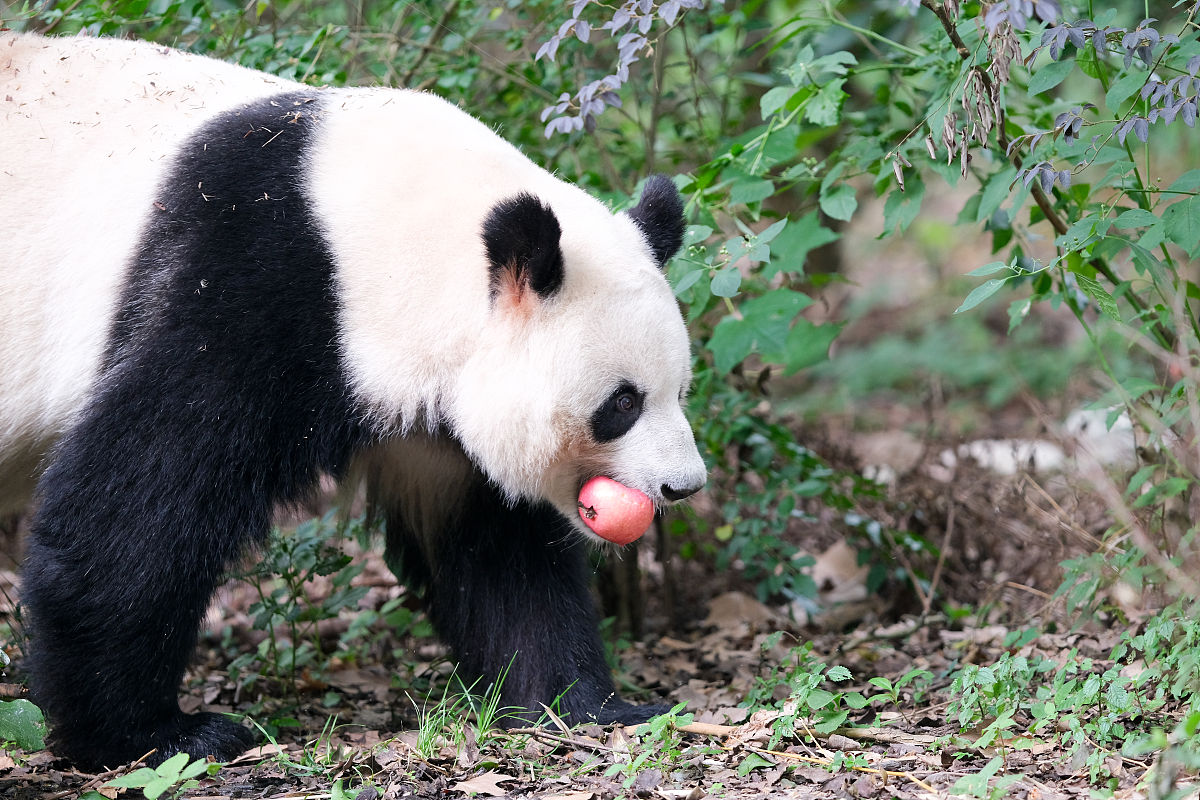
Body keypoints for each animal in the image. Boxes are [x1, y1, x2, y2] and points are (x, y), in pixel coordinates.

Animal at [0, 31, 705, 767]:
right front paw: (152, 734)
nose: (682, 486)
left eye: (679, 390)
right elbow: (141, 500)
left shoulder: (434, 423)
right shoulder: (248, 277)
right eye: (622, 404)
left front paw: (586, 704)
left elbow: (499, 552)